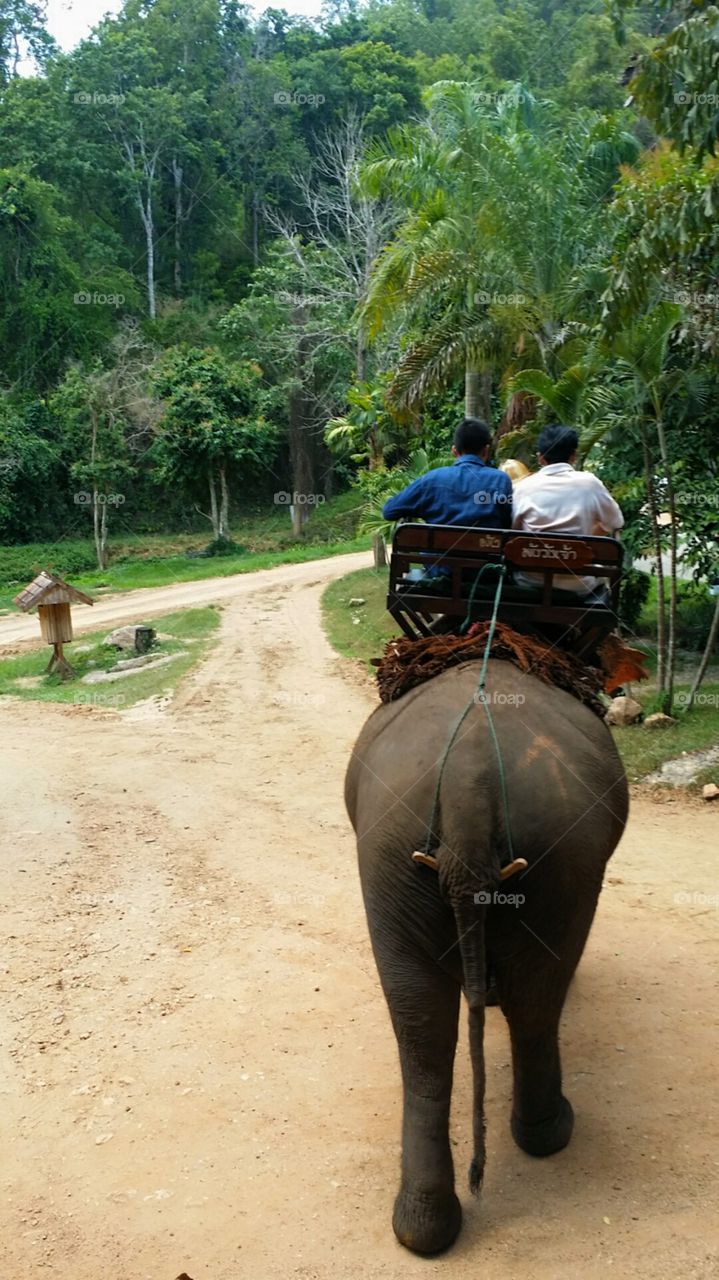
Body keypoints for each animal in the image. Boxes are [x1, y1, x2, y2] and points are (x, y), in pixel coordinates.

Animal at [345, 655, 624, 1254]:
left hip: (390, 857)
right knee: (536, 1002)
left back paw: (423, 1230)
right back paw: (552, 1133)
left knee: (423, 1026)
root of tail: (468, 783)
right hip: (560, 857)